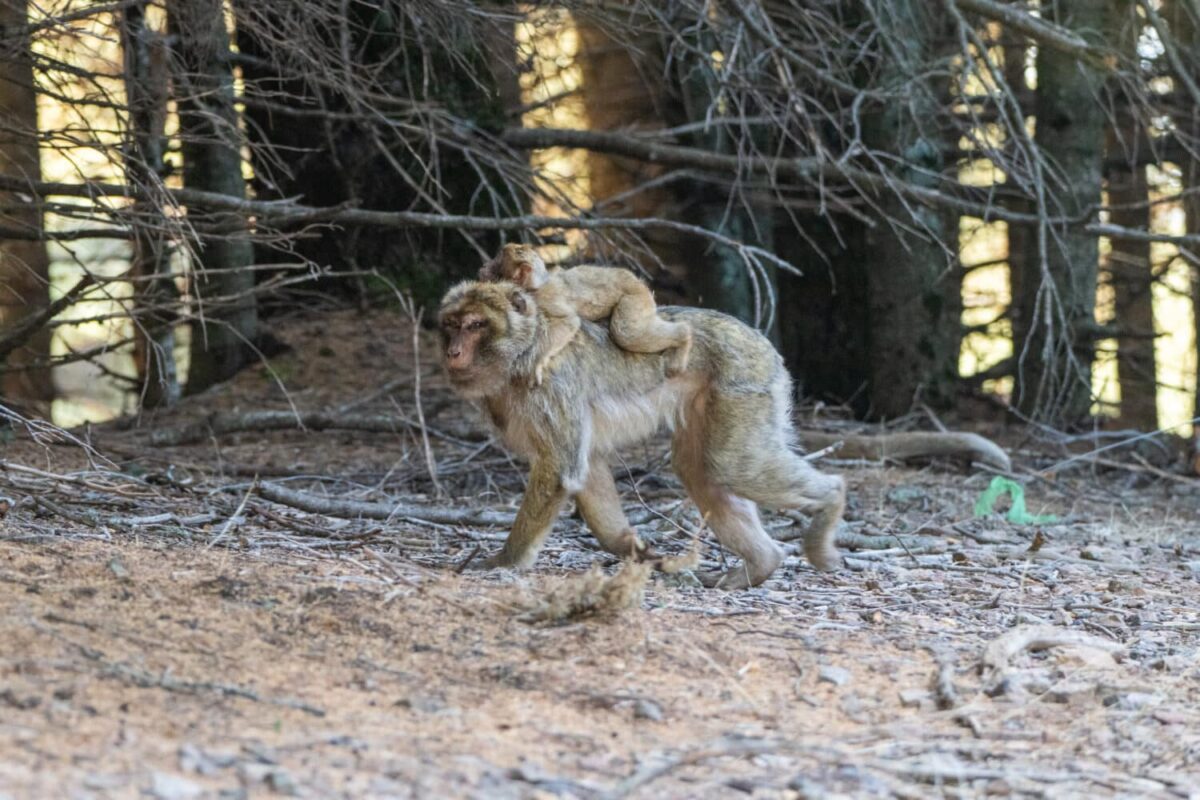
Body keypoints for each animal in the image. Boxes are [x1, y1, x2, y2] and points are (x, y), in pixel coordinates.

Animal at [438, 279, 845, 589]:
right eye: (453, 324)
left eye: (476, 325)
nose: (453, 352)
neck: (522, 354)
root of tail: (760, 340)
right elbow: (587, 466)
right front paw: (630, 547)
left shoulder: (549, 386)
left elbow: (560, 469)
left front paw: (506, 560)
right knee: (701, 471)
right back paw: (762, 563)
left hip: (743, 383)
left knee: (731, 466)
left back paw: (831, 500)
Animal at [478, 243, 693, 386]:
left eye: (496, 262)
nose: (484, 265)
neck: (535, 285)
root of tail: (637, 281)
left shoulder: (545, 298)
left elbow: (569, 322)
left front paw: (537, 361)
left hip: (635, 297)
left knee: (626, 333)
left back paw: (683, 336)